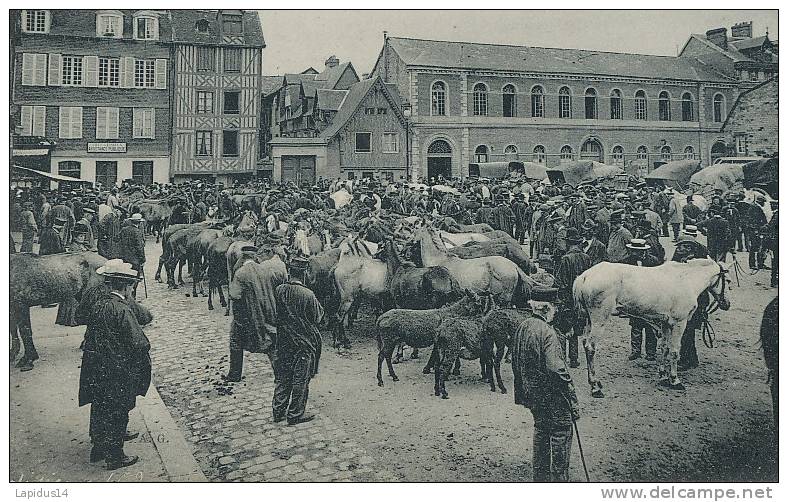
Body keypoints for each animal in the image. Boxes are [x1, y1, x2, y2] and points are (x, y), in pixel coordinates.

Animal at [572, 258, 732, 396]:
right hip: (599, 320)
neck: (685, 280)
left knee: (585, 343)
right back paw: (595, 387)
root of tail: (584, 276)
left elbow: (664, 348)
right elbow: (674, 351)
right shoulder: (679, 323)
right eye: (729, 281)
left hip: (588, 320)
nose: (727, 304)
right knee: (590, 348)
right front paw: (675, 380)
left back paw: (595, 382)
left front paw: (663, 376)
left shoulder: (666, 323)